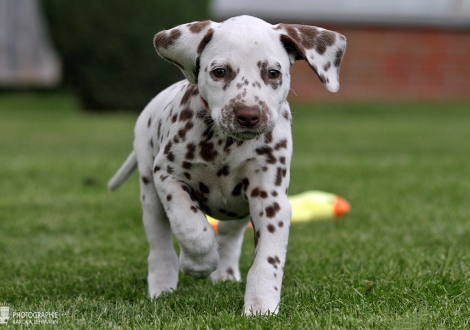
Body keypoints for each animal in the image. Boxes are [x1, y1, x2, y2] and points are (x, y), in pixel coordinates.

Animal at [109, 14, 346, 314]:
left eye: (273, 73)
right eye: (219, 72)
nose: (248, 114)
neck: (226, 146)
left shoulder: (270, 200)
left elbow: (267, 260)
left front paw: (260, 305)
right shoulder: (168, 177)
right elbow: (192, 227)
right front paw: (198, 264)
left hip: (239, 208)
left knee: (228, 235)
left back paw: (225, 274)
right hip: (150, 194)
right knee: (160, 244)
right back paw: (162, 286)